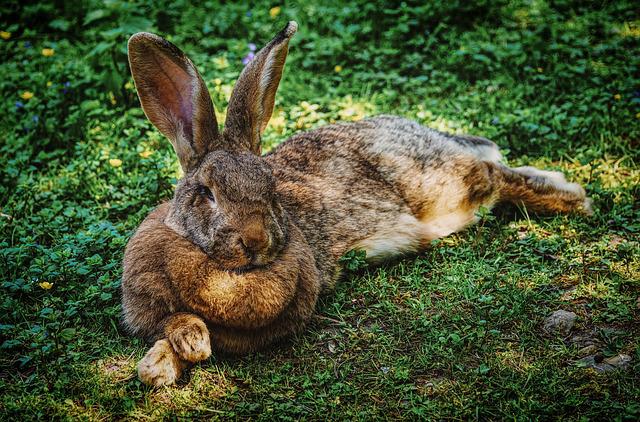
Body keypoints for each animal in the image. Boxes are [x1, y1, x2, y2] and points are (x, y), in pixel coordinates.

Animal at [122, 21, 592, 386]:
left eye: (270, 187)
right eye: (207, 193)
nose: (255, 241)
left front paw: (174, 355)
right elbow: (170, 329)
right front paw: (165, 361)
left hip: (442, 186)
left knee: (495, 176)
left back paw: (572, 198)